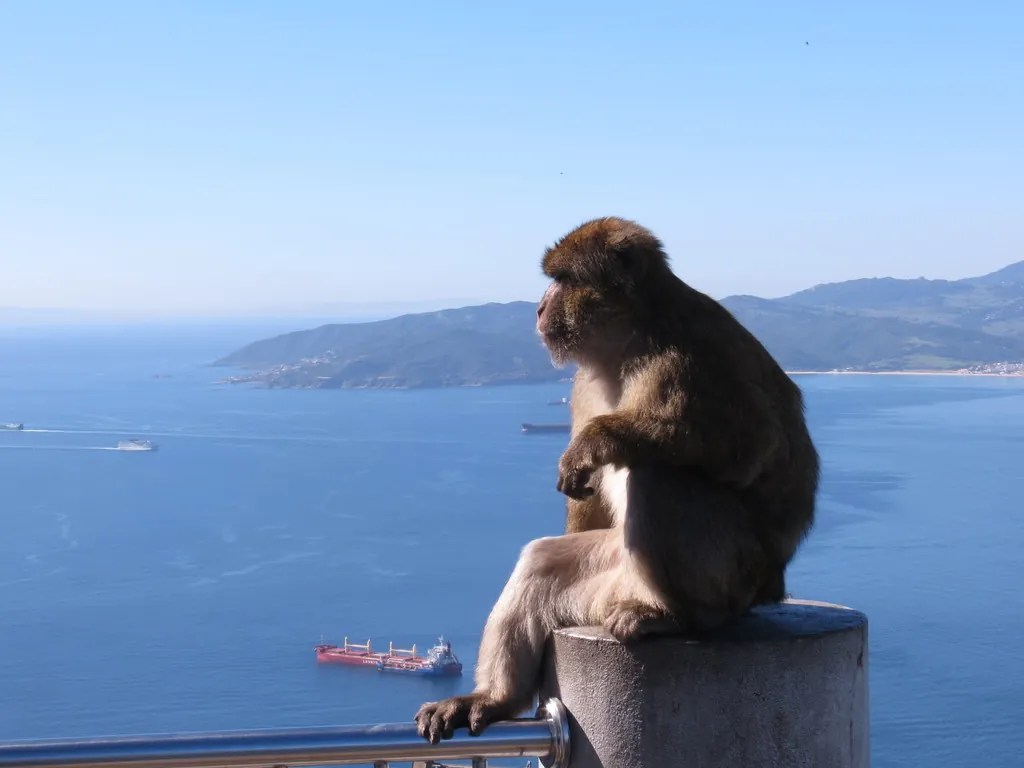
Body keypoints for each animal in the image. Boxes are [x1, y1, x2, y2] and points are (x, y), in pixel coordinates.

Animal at [414, 216, 819, 744]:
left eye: (564, 280)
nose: (539, 307)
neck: (629, 341)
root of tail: (773, 584)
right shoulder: (583, 385)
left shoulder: (683, 360)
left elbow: (752, 443)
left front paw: (597, 440)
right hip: (612, 575)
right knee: (542, 562)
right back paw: (494, 698)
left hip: (735, 576)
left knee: (658, 475)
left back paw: (678, 617)